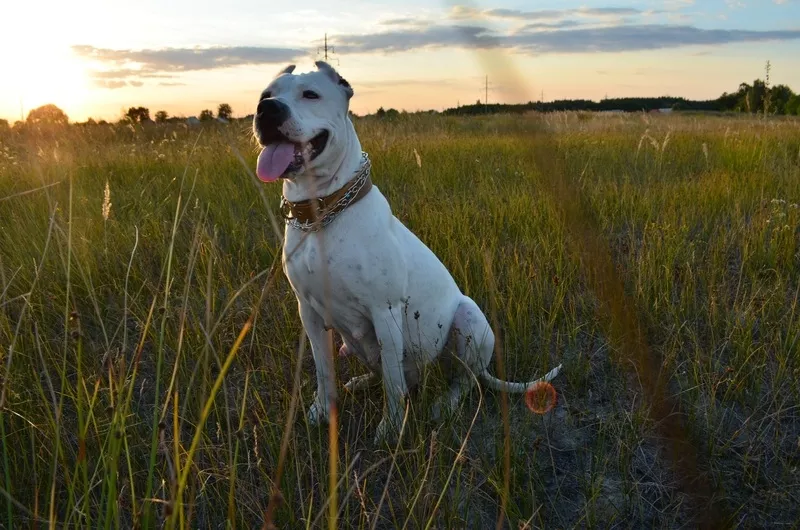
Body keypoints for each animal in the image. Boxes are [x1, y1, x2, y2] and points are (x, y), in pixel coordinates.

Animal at [253, 62, 560, 442]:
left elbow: (393, 383)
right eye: (266, 95)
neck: (323, 214)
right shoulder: (308, 313)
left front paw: (391, 429)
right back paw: (360, 381)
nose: (267, 110)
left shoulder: (384, 312)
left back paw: (444, 403)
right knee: (386, 372)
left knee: (464, 380)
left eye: (310, 94)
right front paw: (321, 412)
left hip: (470, 318)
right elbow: (325, 373)